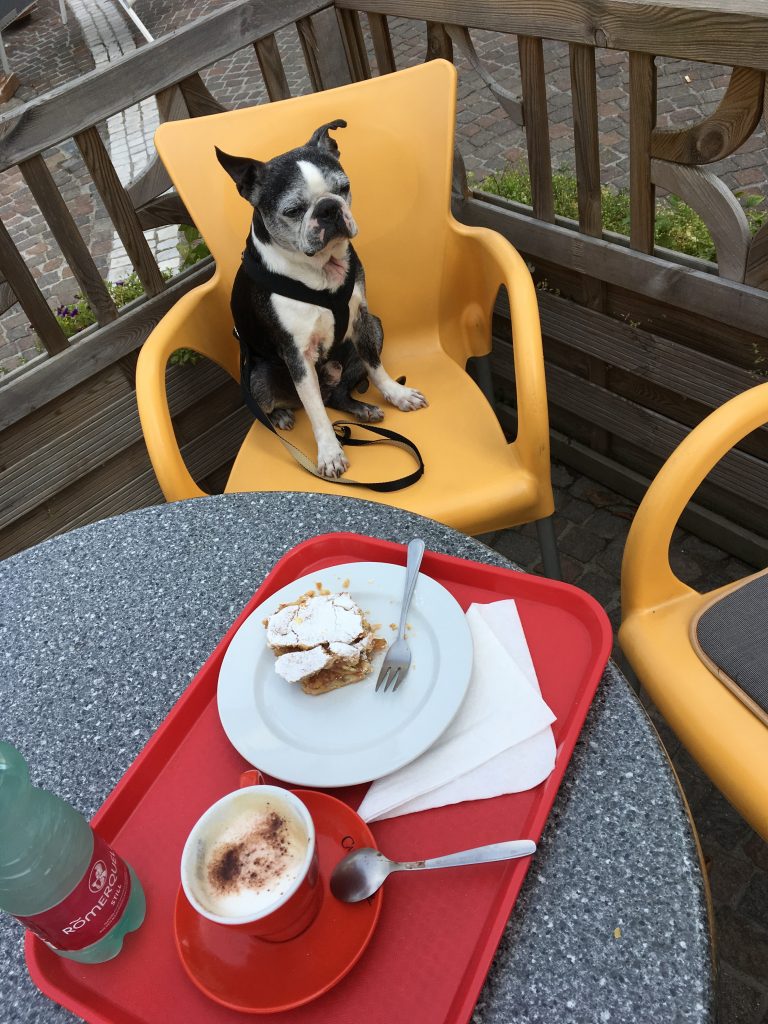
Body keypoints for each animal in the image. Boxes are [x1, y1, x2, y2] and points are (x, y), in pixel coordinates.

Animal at [215, 120, 427, 479]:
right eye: (292, 210)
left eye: (344, 188)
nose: (329, 208)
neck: (321, 270)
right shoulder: (297, 355)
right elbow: (314, 411)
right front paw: (329, 452)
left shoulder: (361, 318)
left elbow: (376, 367)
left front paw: (396, 394)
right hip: (257, 377)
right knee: (294, 404)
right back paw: (282, 415)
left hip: (376, 327)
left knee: (336, 396)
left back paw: (362, 408)